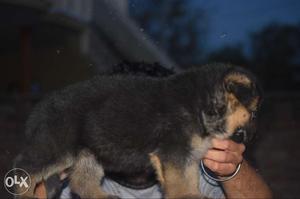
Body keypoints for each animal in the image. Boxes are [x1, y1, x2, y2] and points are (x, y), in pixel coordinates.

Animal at [14, 63, 262, 198]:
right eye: (254, 114)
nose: (251, 137)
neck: (203, 103)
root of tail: (40, 108)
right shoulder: (175, 152)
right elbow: (180, 180)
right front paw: (186, 196)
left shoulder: (187, 155)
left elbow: (189, 177)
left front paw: (191, 194)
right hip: (56, 147)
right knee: (25, 169)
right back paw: (25, 195)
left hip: (89, 153)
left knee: (81, 182)